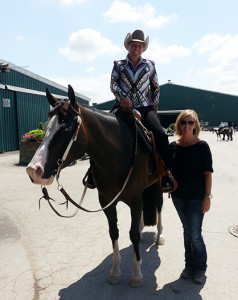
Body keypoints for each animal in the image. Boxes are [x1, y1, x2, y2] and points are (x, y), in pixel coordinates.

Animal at [25, 84, 164, 286]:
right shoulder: (106, 201)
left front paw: (136, 274)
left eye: (66, 128)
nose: (33, 170)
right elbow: (114, 232)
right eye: (47, 126)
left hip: (159, 184)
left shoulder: (135, 199)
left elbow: (133, 234)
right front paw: (115, 272)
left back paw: (160, 235)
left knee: (159, 206)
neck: (118, 153)